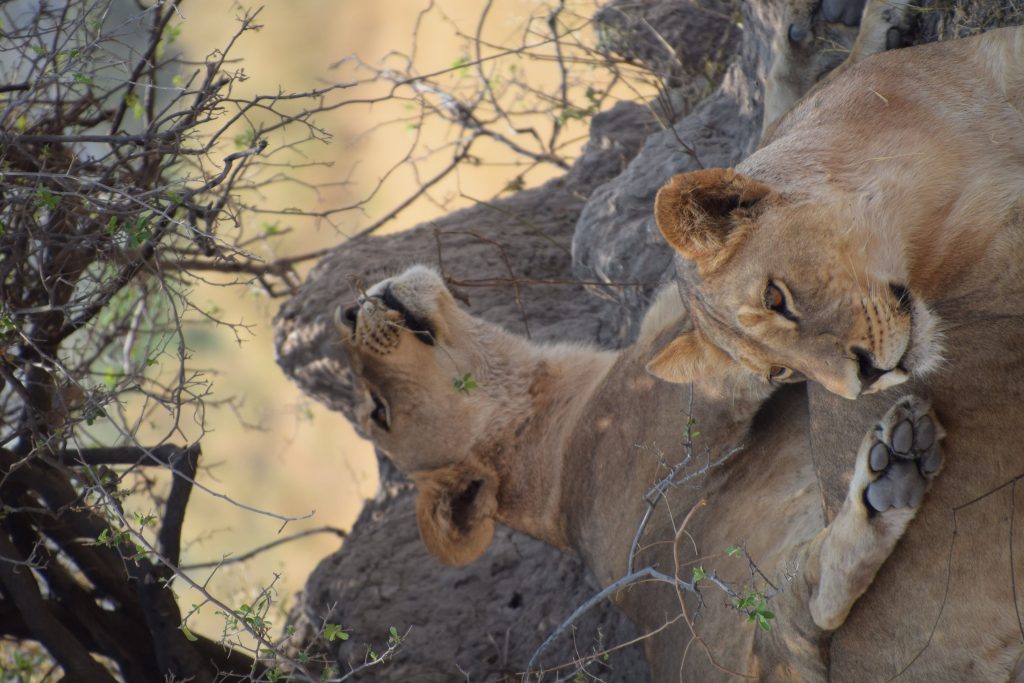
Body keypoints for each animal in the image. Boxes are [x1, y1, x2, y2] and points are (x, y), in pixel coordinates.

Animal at [333, 265, 944, 681]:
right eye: (379, 412)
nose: (346, 315)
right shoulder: (691, 389)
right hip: (767, 602)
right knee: (815, 596)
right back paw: (893, 474)